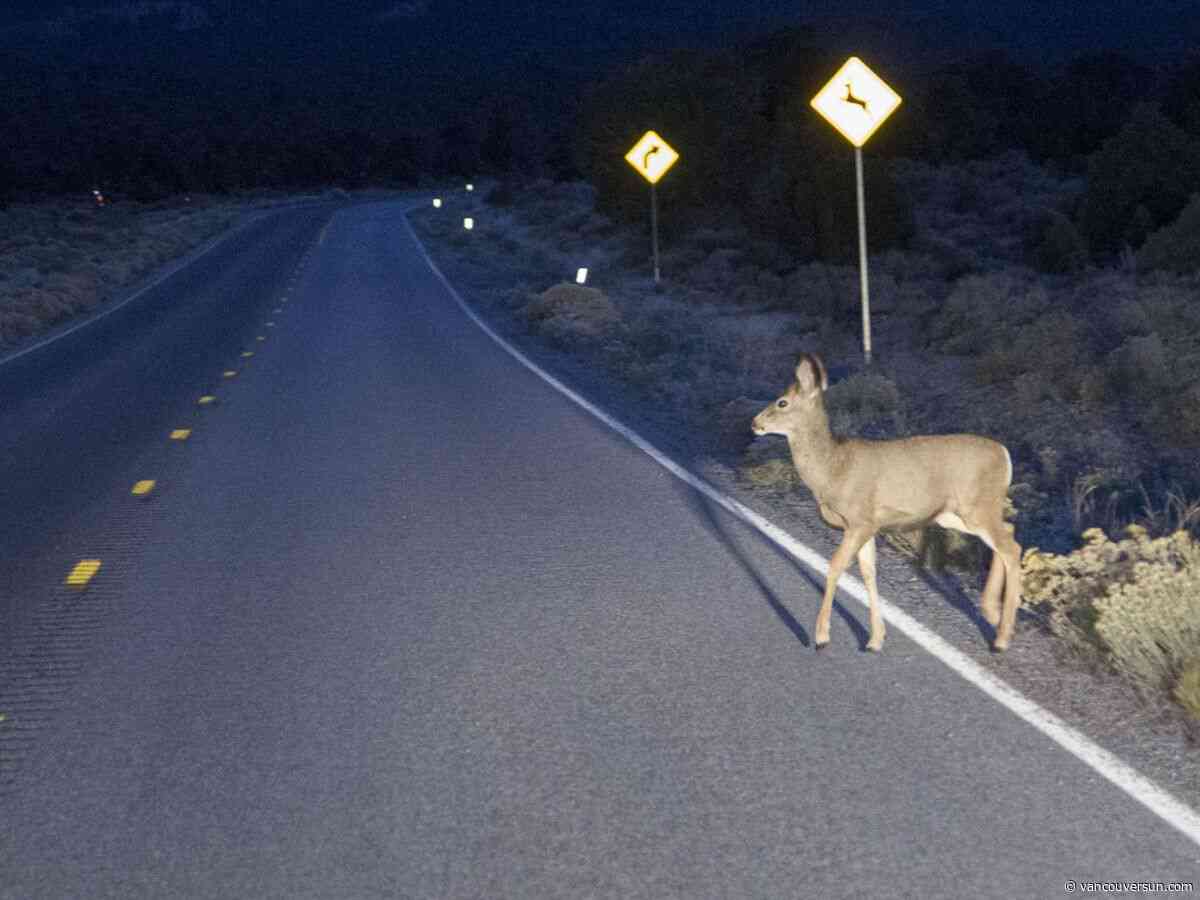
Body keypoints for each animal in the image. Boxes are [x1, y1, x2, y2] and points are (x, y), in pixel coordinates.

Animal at [751, 353, 1022, 653]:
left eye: (782, 402)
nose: (754, 422)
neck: (833, 469)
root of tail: (1005, 454)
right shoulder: (870, 526)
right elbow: (869, 573)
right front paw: (875, 639)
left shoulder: (859, 520)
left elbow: (835, 566)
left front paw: (821, 636)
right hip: (954, 514)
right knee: (1009, 533)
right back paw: (992, 613)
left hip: (978, 506)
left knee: (1011, 548)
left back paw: (1001, 638)